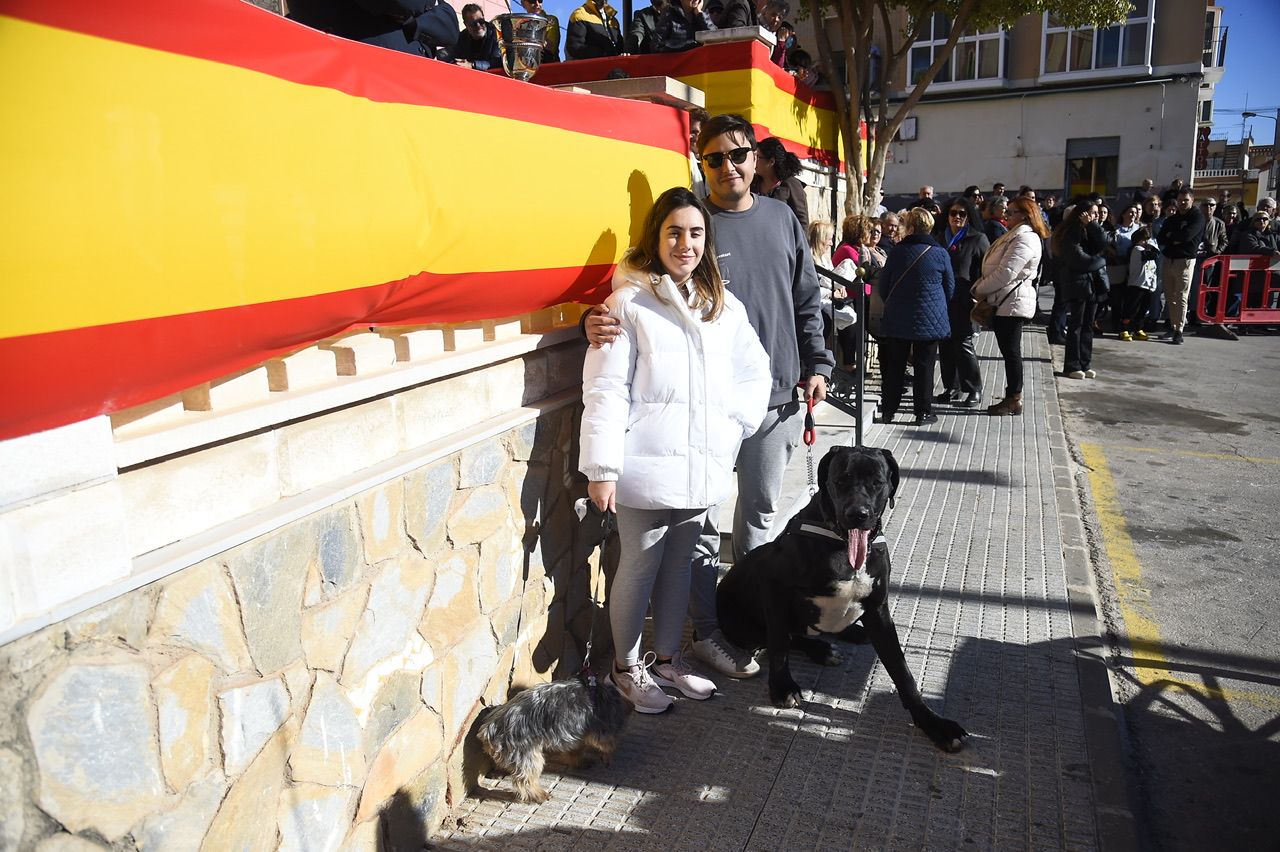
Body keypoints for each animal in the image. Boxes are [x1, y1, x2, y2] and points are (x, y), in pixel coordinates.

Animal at [478, 675, 627, 798]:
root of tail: (490, 730)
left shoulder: (573, 734)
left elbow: (575, 750)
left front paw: (580, 762)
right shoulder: (598, 730)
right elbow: (606, 744)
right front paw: (607, 755)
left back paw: (498, 772)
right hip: (526, 753)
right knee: (525, 779)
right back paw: (539, 795)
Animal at [716, 447, 962, 747]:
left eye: (877, 482)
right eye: (840, 481)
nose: (858, 514)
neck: (842, 545)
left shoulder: (879, 610)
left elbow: (902, 671)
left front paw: (933, 723)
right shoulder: (772, 584)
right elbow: (779, 644)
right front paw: (782, 686)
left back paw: (851, 632)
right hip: (742, 627)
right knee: (783, 636)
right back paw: (821, 649)